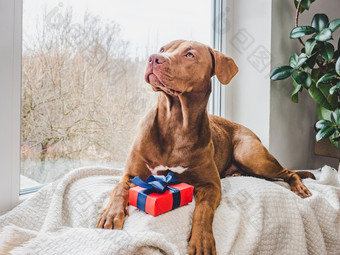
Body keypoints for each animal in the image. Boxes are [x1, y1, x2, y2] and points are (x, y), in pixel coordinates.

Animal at [97, 40, 314, 255]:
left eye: (189, 54)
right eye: (162, 49)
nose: (153, 58)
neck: (175, 122)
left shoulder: (211, 185)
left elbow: (203, 210)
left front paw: (202, 239)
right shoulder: (131, 174)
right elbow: (119, 188)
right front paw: (111, 214)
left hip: (252, 156)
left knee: (289, 171)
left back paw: (300, 188)